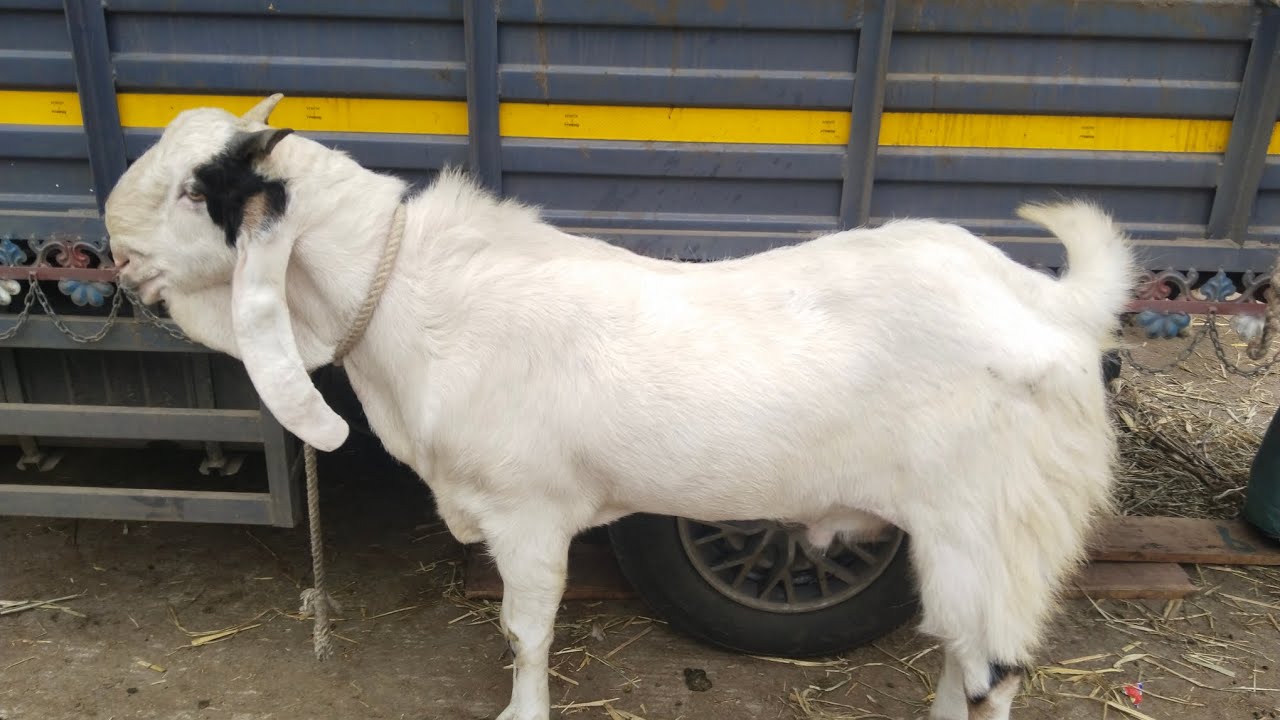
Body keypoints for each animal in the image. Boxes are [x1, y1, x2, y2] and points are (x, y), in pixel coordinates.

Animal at [103, 93, 1138, 720]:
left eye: (199, 189)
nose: (116, 255)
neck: (412, 295)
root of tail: (1055, 305)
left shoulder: (526, 511)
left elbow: (525, 630)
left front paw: (521, 710)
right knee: (965, 655)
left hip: (993, 526)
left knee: (995, 671)